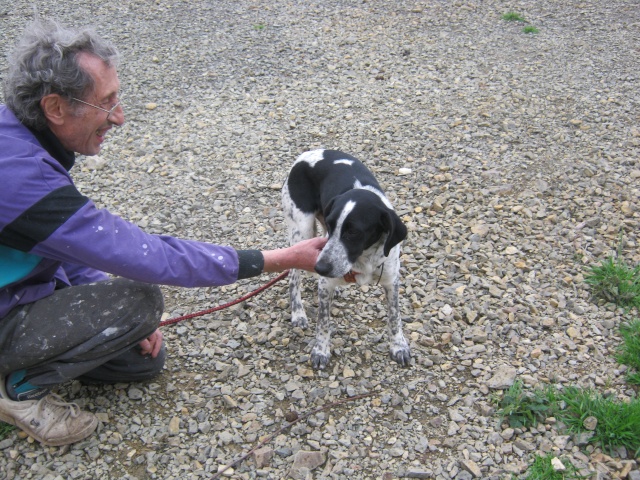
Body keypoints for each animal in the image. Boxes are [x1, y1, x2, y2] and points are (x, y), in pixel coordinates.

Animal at [282, 148, 410, 370]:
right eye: (333, 225)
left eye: (353, 232)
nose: (320, 267)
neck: (363, 259)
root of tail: (307, 153)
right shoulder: (325, 280)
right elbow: (323, 322)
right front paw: (320, 350)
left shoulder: (391, 281)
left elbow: (395, 317)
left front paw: (398, 346)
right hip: (301, 230)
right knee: (293, 275)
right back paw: (298, 313)